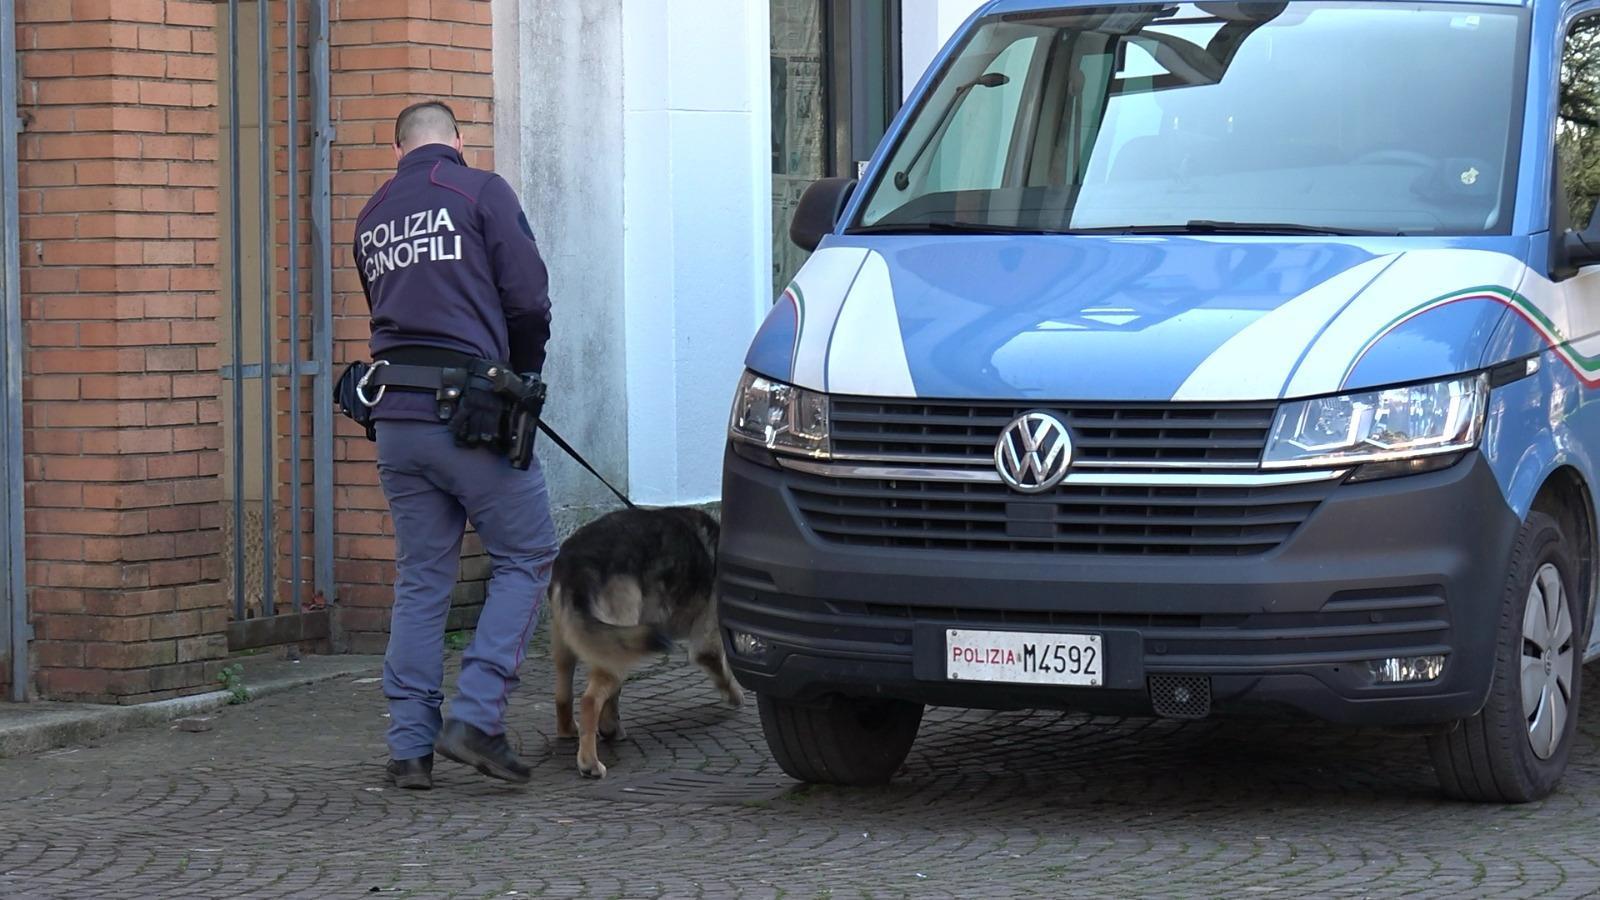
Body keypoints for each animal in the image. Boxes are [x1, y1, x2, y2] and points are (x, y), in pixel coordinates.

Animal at [550, 509, 742, 775]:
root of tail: (577, 563)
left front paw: (610, 727)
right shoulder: (709, 642)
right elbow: (724, 669)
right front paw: (736, 695)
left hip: (582, 647)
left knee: (564, 695)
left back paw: (575, 730)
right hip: (617, 648)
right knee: (590, 700)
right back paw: (589, 763)